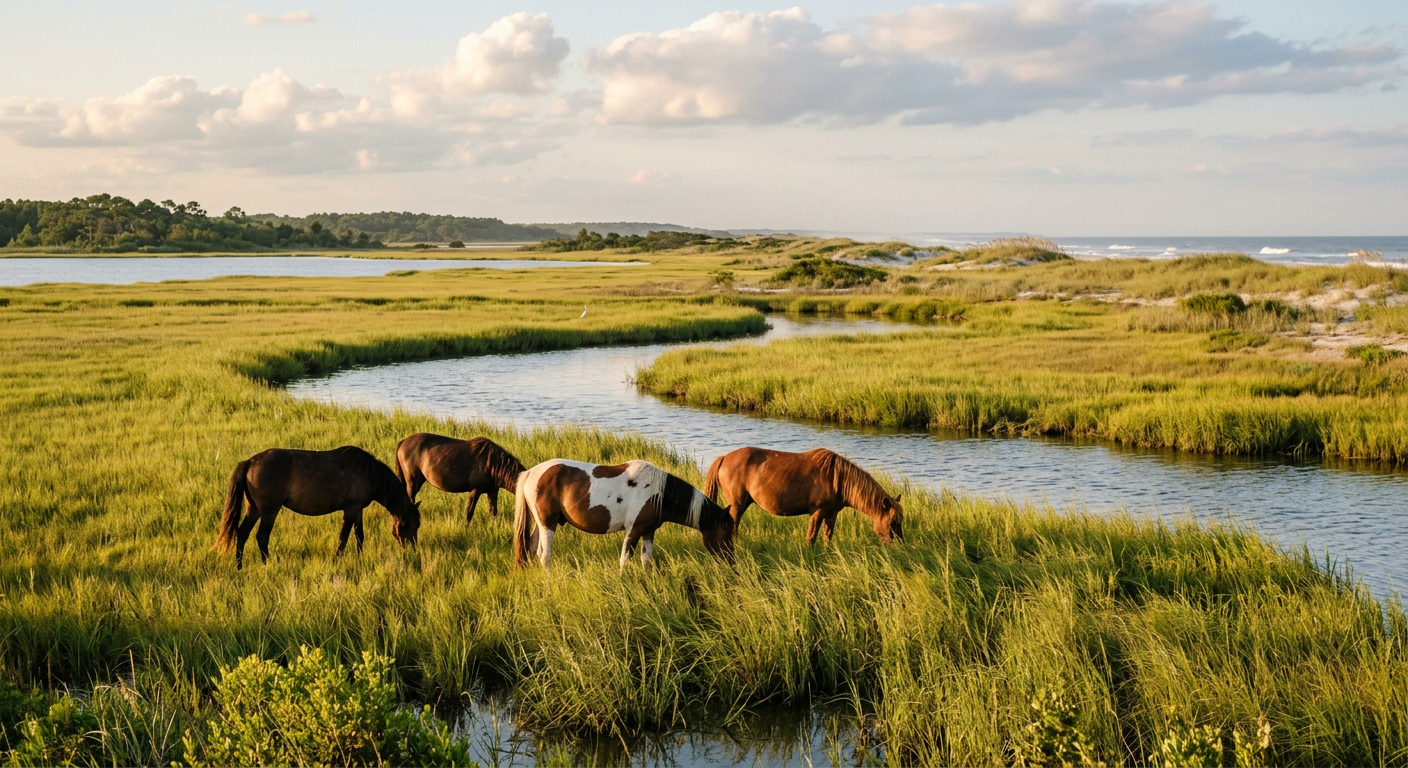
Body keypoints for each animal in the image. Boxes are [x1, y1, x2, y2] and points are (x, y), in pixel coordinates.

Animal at [216, 446, 421, 569]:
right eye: (414, 525)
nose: (413, 551)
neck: (368, 472)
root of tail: (249, 462)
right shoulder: (351, 510)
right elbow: (343, 537)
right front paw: (337, 560)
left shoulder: (358, 510)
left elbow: (359, 536)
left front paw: (360, 558)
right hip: (269, 511)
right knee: (262, 537)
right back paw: (268, 564)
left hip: (254, 509)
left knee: (242, 533)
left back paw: (239, 566)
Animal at [394, 433, 525, 525]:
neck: (493, 463)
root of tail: (403, 441)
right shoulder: (475, 491)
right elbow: (469, 512)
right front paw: (466, 529)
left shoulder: (492, 491)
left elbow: (493, 512)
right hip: (413, 481)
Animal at [513, 459, 734, 570]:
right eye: (726, 533)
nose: (732, 562)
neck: (658, 493)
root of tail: (531, 473)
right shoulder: (633, 531)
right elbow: (625, 560)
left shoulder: (648, 532)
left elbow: (647, 561)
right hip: (547, 524)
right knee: (545, 556)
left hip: (541, 523)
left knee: (531, 549)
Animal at [703, 447, 903, 545]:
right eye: (893, 522)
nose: (900, 544)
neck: (837, 479)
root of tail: (724, 458)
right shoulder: (817, 513)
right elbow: (811, 538)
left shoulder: (831, 515)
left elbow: (827, 538)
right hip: (737, 505)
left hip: (744, 504)